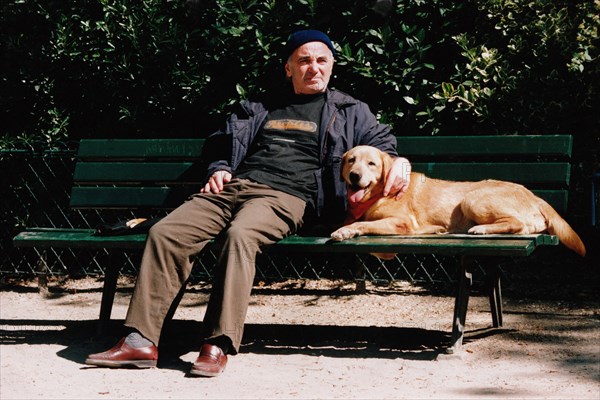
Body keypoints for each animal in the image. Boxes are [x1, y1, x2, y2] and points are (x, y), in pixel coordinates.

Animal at [328, 145, 584, 258]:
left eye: (371, 163)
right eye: (351, 160)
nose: (355, 176)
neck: (381, 192)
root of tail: (534, 195)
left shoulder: (402, 223)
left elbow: (363, 224)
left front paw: (345, 230)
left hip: (472, 199)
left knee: (517, 224)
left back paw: (481, 229)